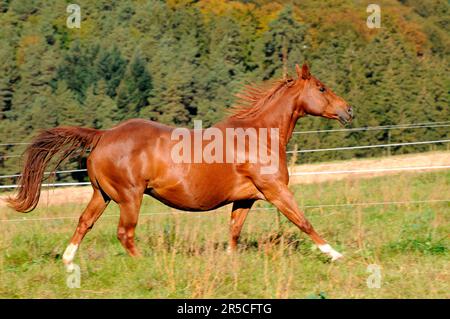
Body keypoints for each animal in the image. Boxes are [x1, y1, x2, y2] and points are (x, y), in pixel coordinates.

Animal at [6, 63, 352, 268]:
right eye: (321, 88)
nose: (348, 110)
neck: (258, 136)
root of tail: (103, 135)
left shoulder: (245, 199)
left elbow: (234, 231)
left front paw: (229, 262)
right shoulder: (276, 190)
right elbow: (304, 222)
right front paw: (335, 254)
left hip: (101, 195)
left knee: (84, 222)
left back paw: (68, 261)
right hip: (130, 197)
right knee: (124, 233)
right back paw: (145, 264)